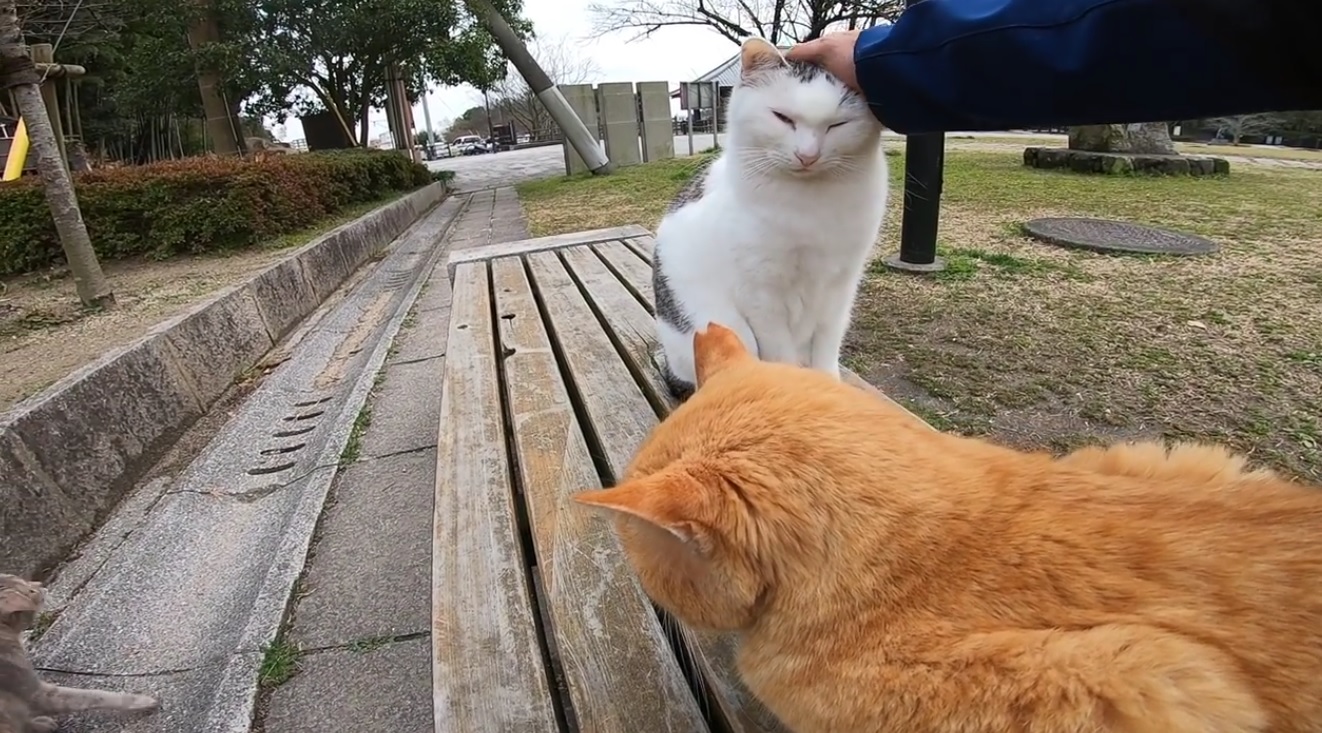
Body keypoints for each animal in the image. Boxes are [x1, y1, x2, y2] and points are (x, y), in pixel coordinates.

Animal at [653, 35, 888, 399]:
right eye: (782, 118)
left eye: (837, 125)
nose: (807, 155)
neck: (808, 207)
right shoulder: (761, 294)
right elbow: (780, 353)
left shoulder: (841, 287)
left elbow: (827, 346)